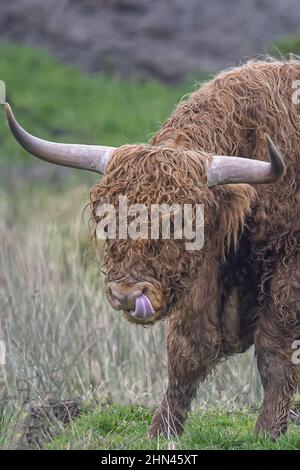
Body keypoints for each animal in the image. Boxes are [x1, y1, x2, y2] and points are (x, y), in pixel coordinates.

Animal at [5, 59, 300, 440]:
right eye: (105, 219)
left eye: (178, 222)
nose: (127, 294)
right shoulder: (206, 274)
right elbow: (188, 350)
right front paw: (162, 430)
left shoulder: (287, 274)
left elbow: (274, 352)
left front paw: (266, 432)